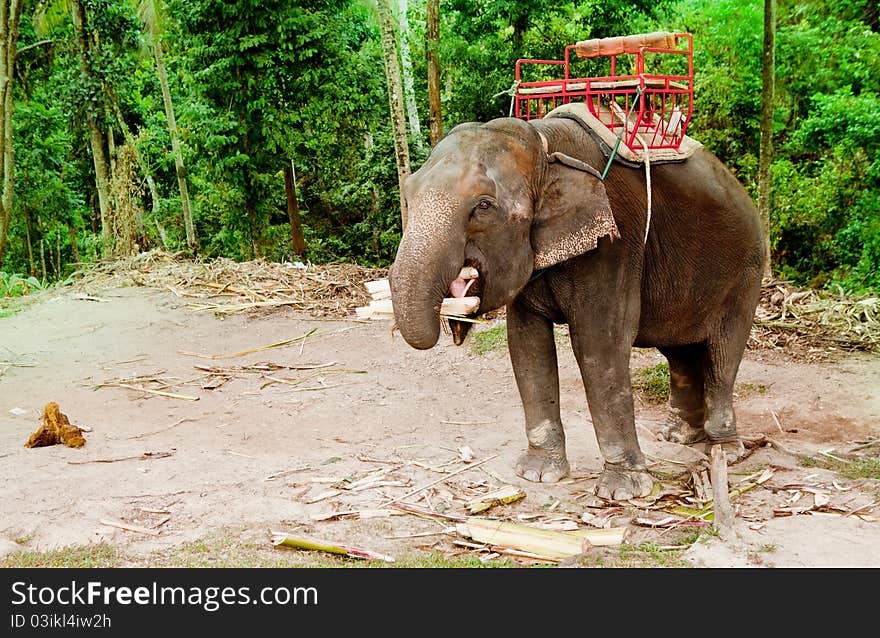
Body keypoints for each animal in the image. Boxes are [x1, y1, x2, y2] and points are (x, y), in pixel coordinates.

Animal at [388, 116, 768, 504]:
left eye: (483, 206)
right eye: (410, 192)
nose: (456, 318)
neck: (543, 142)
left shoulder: (613, 246)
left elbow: (599, 346)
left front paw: (623, 491)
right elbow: (526, 346)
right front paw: (538, 473)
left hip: (746, 273)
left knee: (722, 353)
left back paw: (723, 450)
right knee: (679, 353)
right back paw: (678, 436)